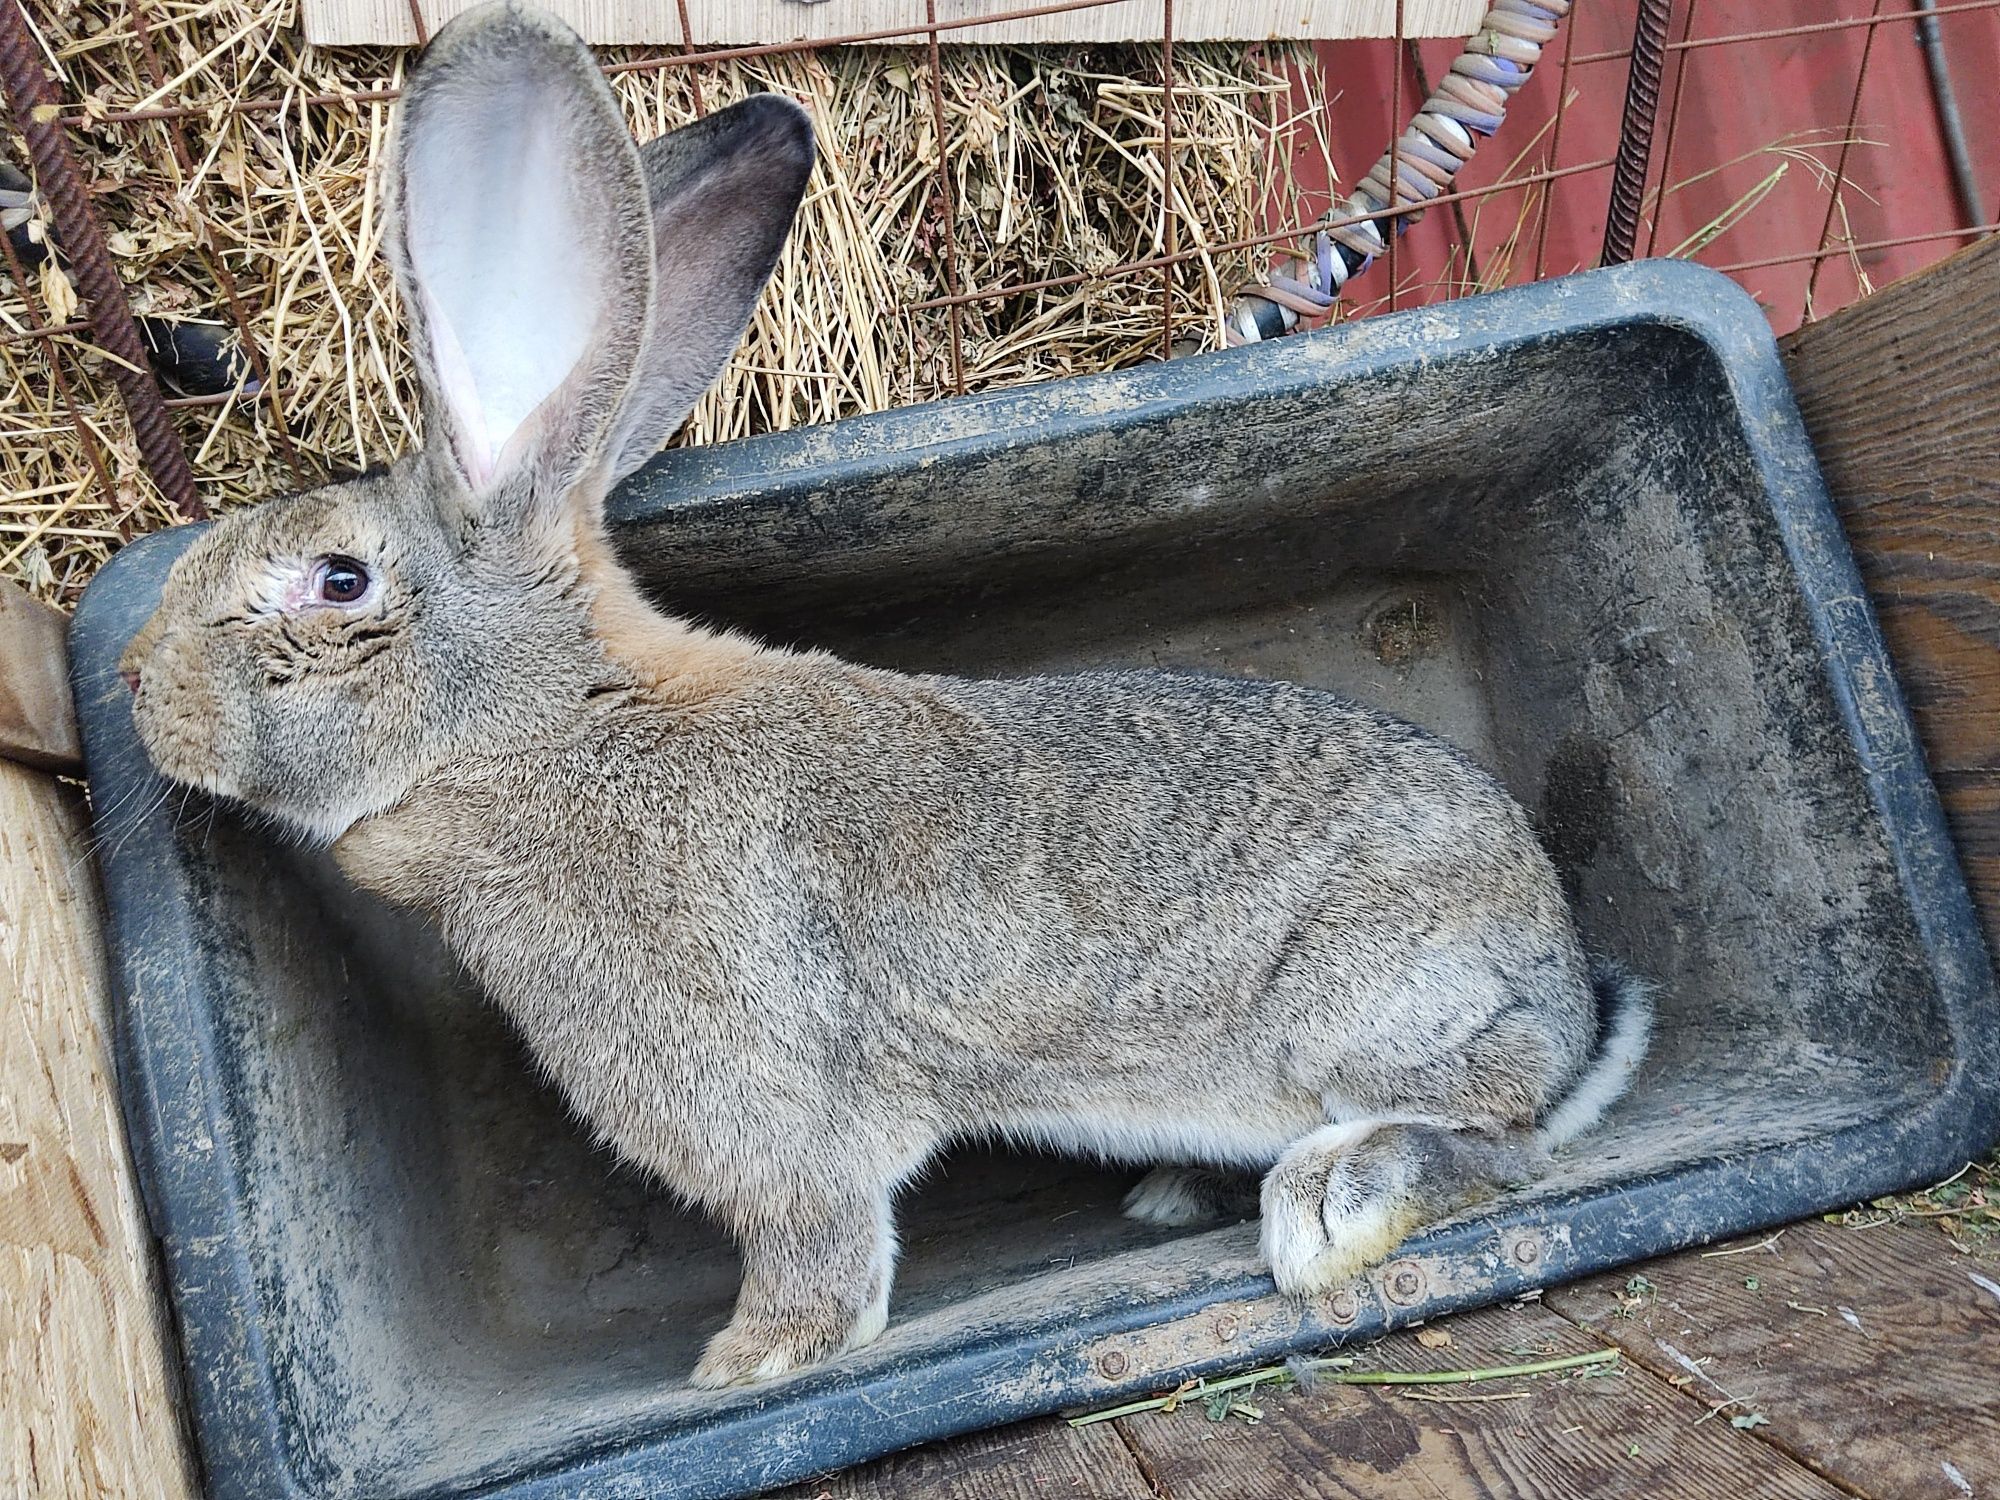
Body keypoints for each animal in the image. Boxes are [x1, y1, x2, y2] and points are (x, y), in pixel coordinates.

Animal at [125, 0, 1656, 1392]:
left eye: (336, 582)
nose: (140, 689)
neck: (554, 724)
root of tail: (1561, 986)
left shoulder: (765, 1119)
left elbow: (814, 1240)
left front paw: (745, 1365)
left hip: (1363, 1014)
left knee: (1499, 1146)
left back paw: (1326, 1207)